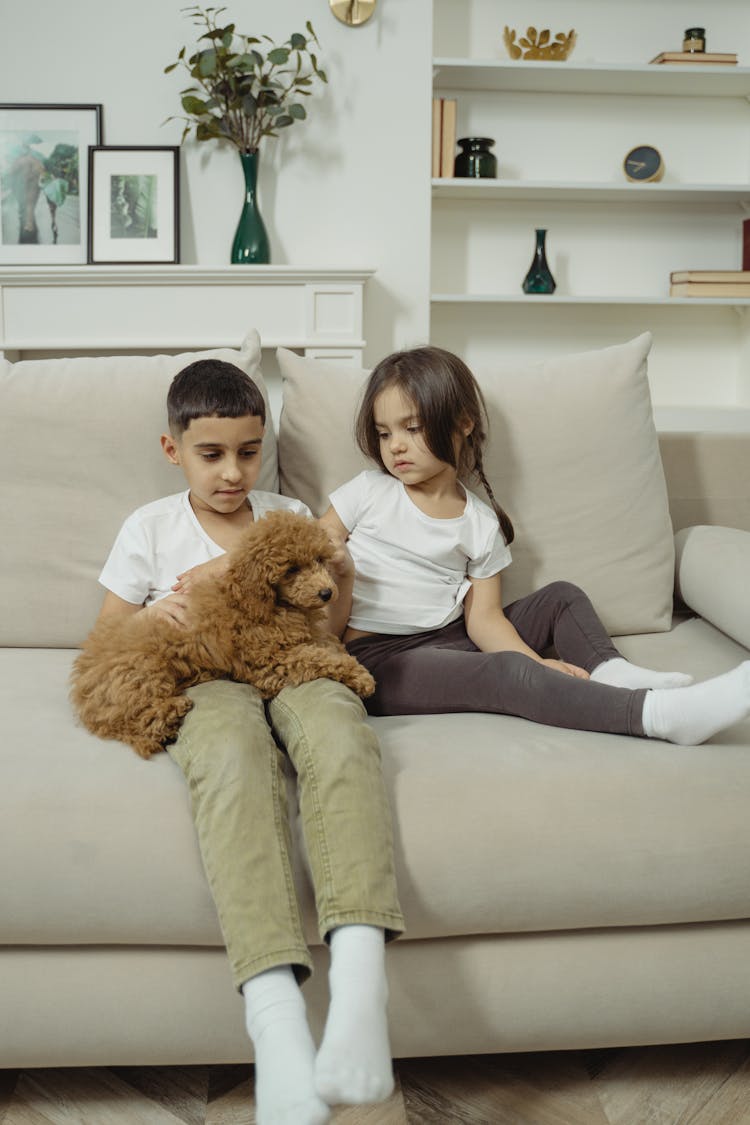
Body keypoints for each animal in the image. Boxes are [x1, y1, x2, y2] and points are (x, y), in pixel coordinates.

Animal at [70, 508, 375, 756]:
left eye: (320, 560)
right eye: (291, 569)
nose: (327, 593)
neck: (270, 602)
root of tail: (83, 687)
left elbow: (326, 641)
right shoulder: (269, 661)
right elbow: (317, 657)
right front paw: (360, 676)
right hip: (143, 672)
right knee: (134, 720)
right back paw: (169, 715)